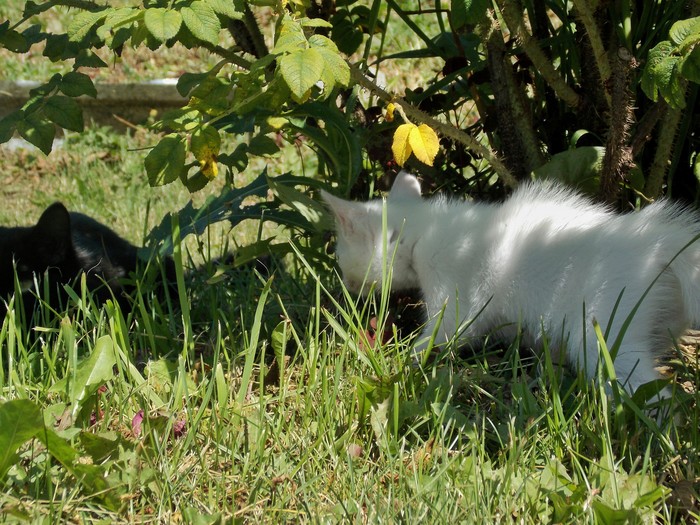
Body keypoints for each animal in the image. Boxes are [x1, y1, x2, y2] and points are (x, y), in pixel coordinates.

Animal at [322, 170, 700, 396]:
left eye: (341, 258)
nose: (347, 286)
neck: (422, 232)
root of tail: (657, 242)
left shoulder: (456, 298)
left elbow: (442, 335)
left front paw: (399, 363)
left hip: (602, 332)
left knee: (648, 391)